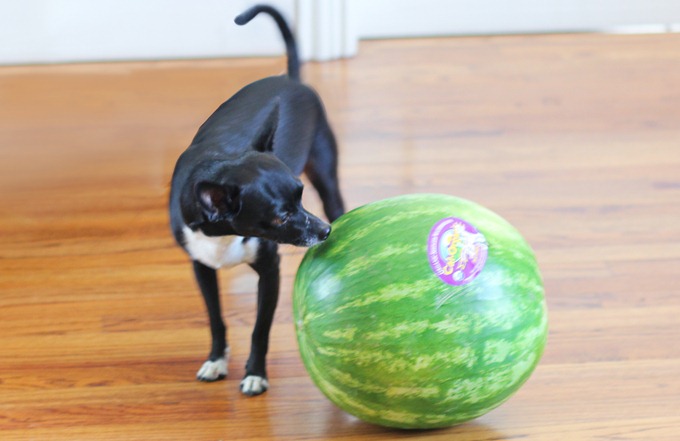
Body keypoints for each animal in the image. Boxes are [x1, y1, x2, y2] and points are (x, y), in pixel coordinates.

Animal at [167, 4, 342, 396]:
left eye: (300, 196)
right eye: (280, 217)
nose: (324, 231)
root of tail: (289, 78)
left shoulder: (270, 272)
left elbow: (260, 329)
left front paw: (255, 373)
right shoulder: (201, 267)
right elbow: (216, 317)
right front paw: (217, 359)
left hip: (327, 176)